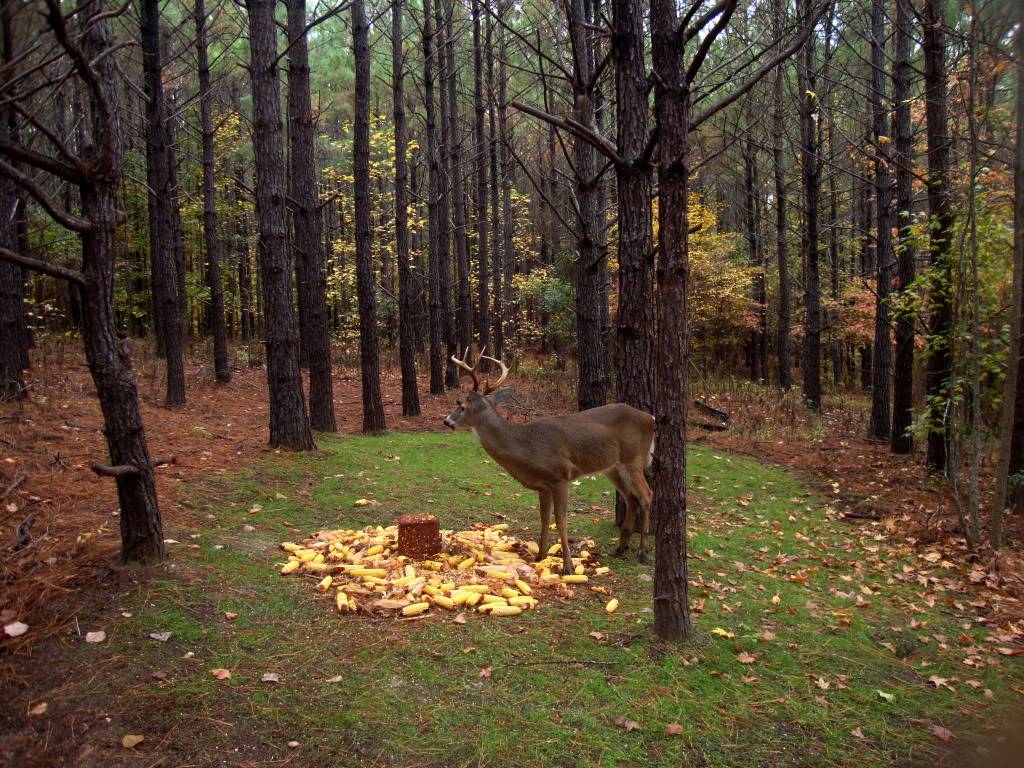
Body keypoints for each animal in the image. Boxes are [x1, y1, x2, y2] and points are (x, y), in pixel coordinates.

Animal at [442, 352, 655, 573]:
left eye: (462, 406)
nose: (446, 421)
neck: (526, 447)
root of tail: (651, 418)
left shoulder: (560, 476)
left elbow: (561, 519)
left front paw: (568, 566)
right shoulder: (542, 485)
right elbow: (544, 517)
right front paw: (540, 555)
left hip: (634, 457)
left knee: (646, 495)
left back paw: (641, 552)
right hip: (612, 466)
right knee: (631, 497)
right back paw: (621, 548)